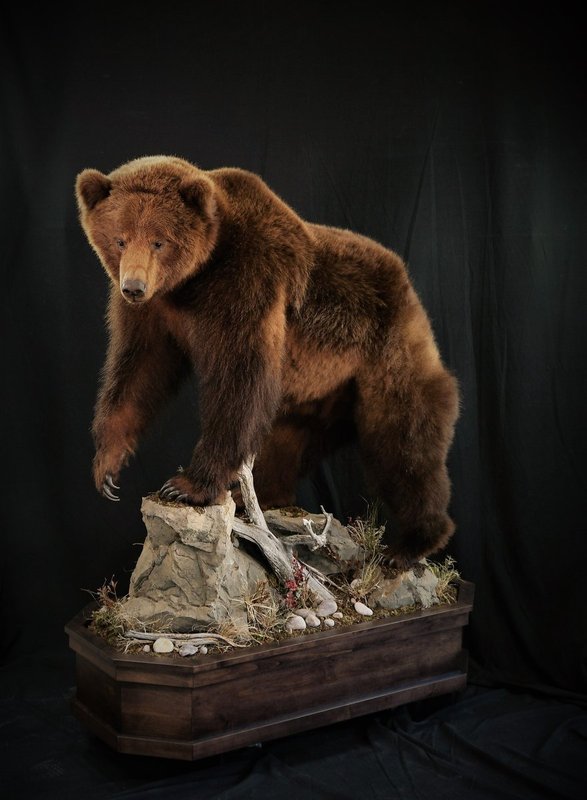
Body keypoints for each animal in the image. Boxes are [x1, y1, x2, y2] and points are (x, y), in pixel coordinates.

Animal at [75, 155, 460, 570]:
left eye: (159, 241)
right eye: (120, 238)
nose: (133, 286)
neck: (195, 280)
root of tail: (408, 285)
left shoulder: (248, 284)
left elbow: (240, 381)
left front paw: (187, 485)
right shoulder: (156, 314)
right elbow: (138, 370)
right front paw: (108, 465)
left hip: (384, 353)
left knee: (403, 442)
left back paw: (411, 543)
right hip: (321, 395)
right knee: (286, 442)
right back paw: (255, 497)